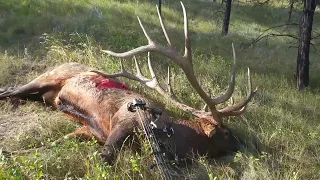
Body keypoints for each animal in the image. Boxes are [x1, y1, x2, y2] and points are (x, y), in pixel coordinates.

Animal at [0, 2, 256, 166]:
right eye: (227, 133)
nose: (245, 144)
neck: (166, 131)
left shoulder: (90, 130)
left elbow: (50, 144)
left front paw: (9, 152)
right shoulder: (122, 122)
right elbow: (105, 158)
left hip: (47, 94)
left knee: (16, 93)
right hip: (47, 76)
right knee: (10, 90)